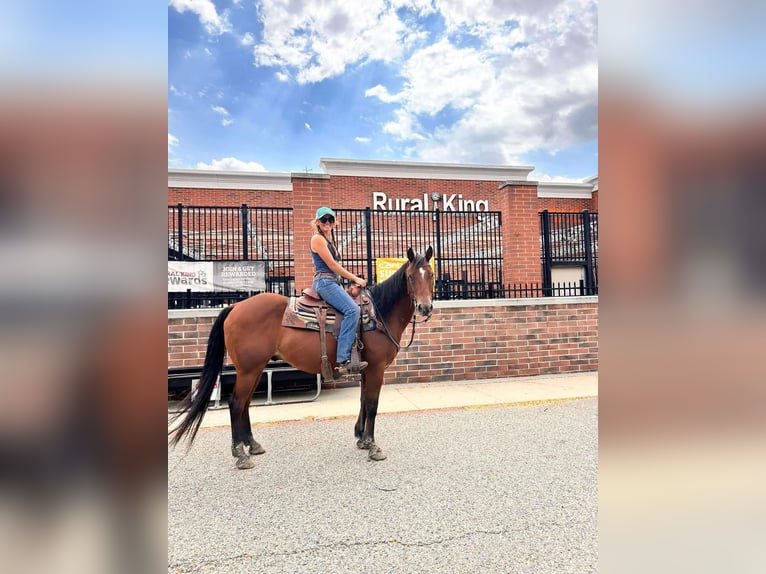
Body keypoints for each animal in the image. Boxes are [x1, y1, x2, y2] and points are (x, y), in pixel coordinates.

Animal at [170, 245, 436, 470]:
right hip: (248, 369)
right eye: (411, 277)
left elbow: (362, 401)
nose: (424, 308)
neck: (378, 314)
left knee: (244, 403)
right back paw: (240, 454)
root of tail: (236, 307)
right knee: (236, 403)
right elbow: (372, 404)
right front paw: (372, 445)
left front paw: (361, 438)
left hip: (254, 369)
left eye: (431, 275)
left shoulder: (365, 369)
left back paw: (252, 445)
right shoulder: (376, 369)